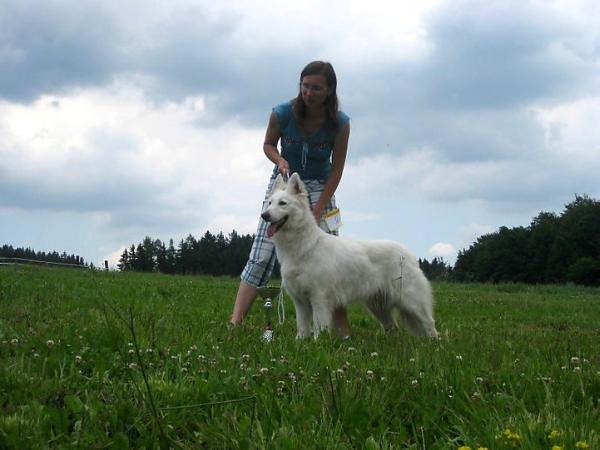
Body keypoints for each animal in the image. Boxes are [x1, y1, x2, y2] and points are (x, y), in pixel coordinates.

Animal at [260, 174, 438, 340]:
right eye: (270, 203)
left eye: (282, 203)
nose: (264, 215)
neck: (304, 246)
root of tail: (409, 254)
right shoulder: (300, 302)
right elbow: (302, 326)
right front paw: (301, 342)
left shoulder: (319, 298)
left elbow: (319, 325)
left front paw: (318, 342)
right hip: (378, 306)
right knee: (393, 327)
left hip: (412, 302)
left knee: (429, 323)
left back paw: (433, 343)